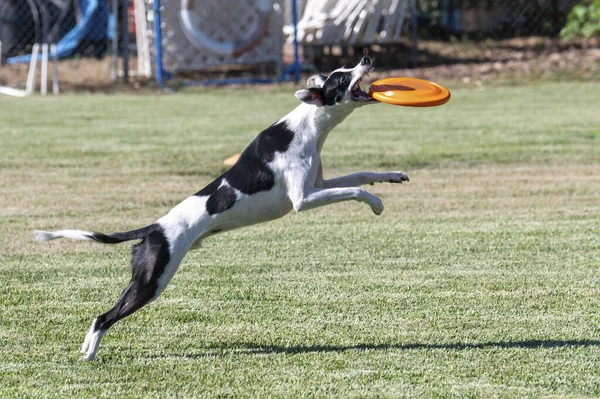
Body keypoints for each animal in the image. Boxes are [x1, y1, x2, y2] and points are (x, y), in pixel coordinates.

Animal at [32, 55, 408, 362]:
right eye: (342, 78)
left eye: (345, 68)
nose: (367, 57)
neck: (307, 127)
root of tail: (154, 228)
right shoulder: (302, 199)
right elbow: (354, 188)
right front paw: (376, 203)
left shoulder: (319, 183)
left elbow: (361, 175)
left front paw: (392, 176)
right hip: (153, 280)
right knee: (104, 316)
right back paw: (90, 354)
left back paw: (84, 349)